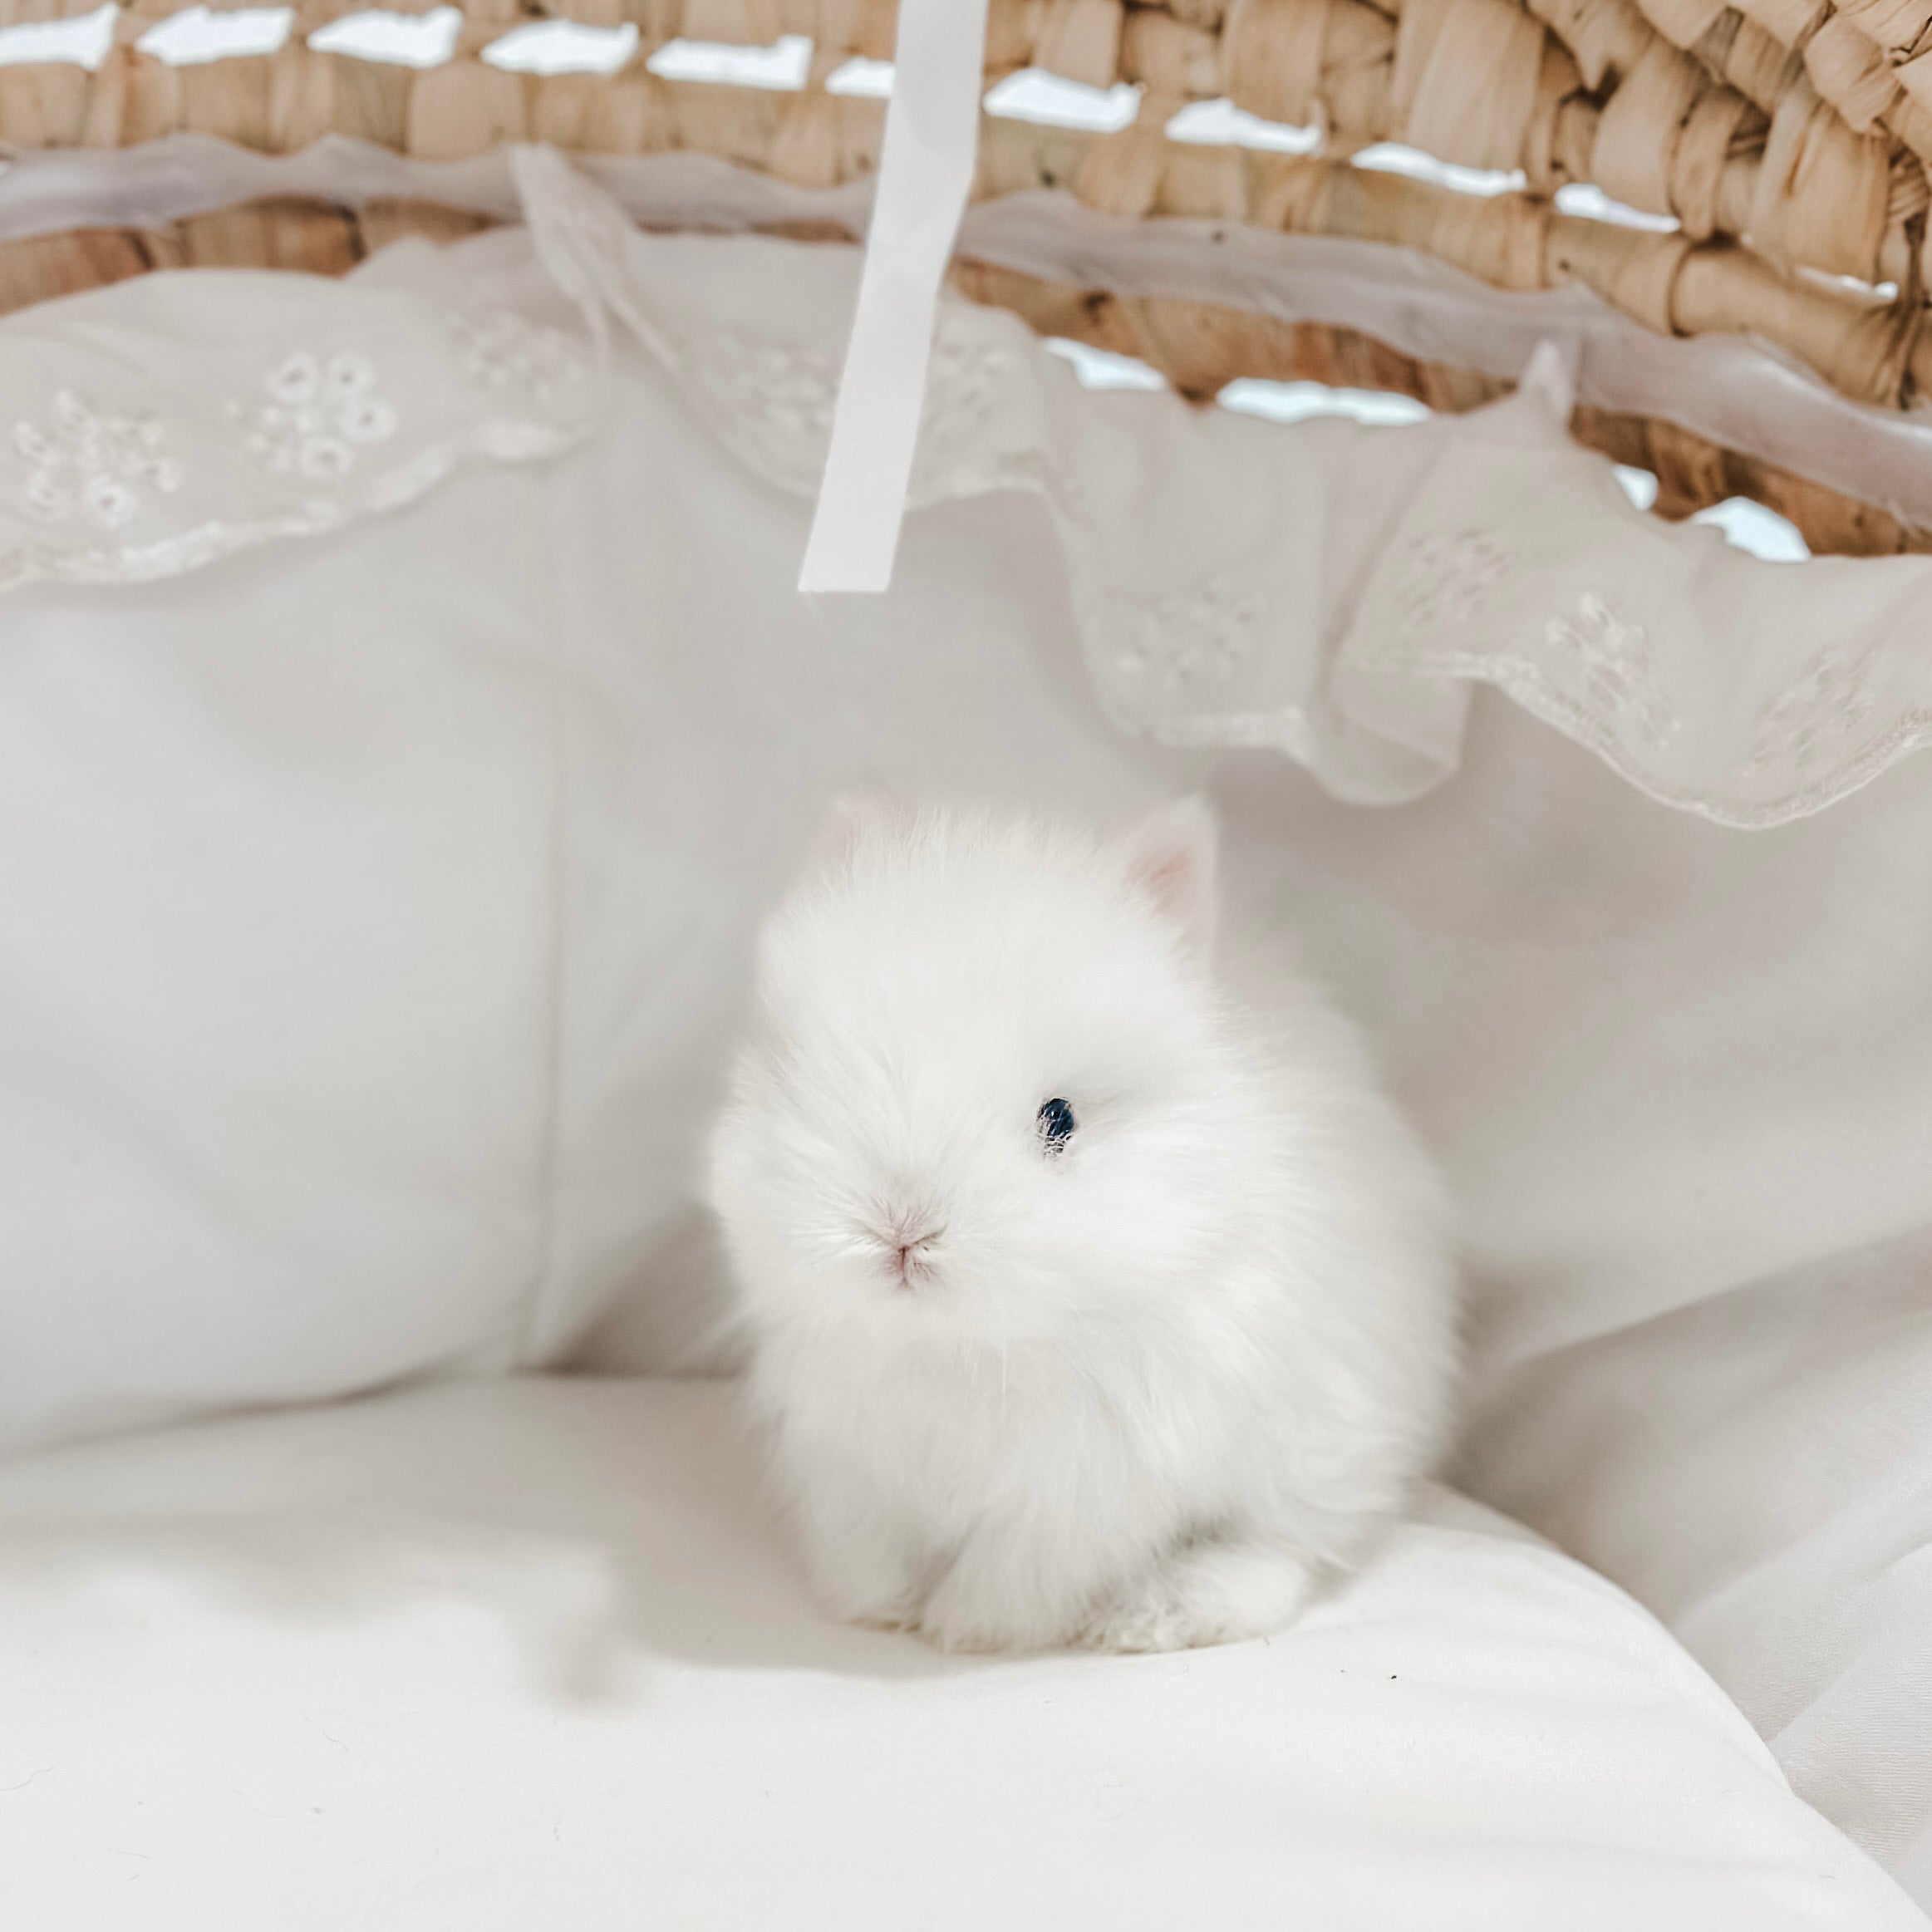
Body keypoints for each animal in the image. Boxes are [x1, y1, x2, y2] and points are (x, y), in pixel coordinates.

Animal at [706, 793, 1460, 1655]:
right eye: (817, 1079)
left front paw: (968, 1629)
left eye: (1059, 1117)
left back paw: (1158, 1615)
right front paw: (876, 1607)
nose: (902, 1230)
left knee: (1279, 1552)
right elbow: (871, 1548)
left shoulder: (1089, 1486)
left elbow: (1019, 1570)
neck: (959, 1349)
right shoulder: (849, 1469)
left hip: (1325, 1449)